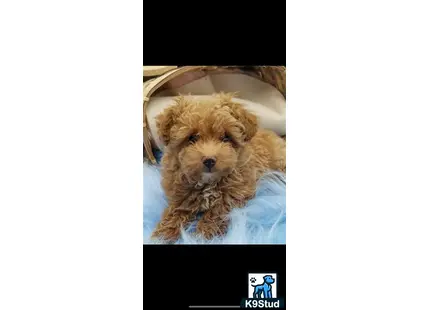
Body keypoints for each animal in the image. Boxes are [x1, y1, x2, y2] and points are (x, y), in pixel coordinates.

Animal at [151, 92, 286, 242]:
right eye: (192, 138)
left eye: (226, 137)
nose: (209, 160)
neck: (208, 182)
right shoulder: (180, 194)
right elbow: (176, 211)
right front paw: (161, 235)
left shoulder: (236, 193)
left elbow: (217, 212)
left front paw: (203, 235)